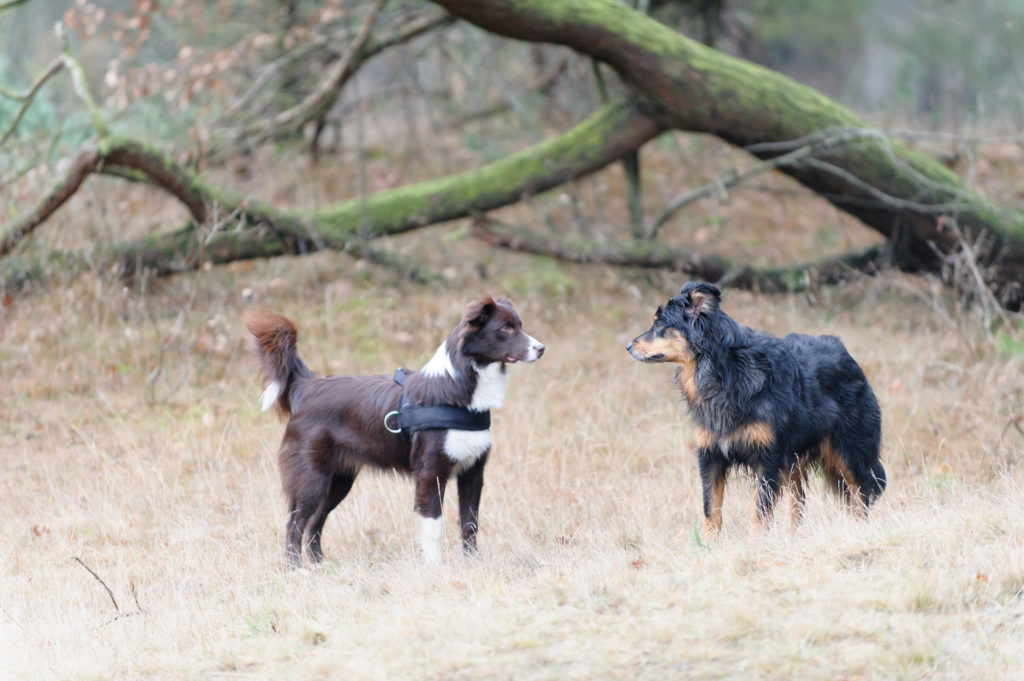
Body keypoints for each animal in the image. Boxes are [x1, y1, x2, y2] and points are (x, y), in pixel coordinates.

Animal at [245, 296, 544, 566]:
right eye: (505, 329)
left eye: (519, 325)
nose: (541, 348)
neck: (459, 387)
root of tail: (306, 386)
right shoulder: (430, 473)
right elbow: (433, 525)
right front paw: (434, 568)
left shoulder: (473, 473)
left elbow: (470, 523)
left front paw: (472, 564)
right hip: (311, 478)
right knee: (295, 523)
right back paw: (295, 568)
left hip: (339, 480)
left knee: (315, 522)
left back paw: (320, 564)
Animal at [627, 281, 885, 538]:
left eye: (659, 324)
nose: (628, 345)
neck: (725, 369)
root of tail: (846, 353)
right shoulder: (710, 454)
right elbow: (711, 507)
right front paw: (709, 544)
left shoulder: (768, 456)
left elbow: (760, 510)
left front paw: (756, 542)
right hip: (796, 457)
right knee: (798, 498)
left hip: (848, 449)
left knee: (861, 491)